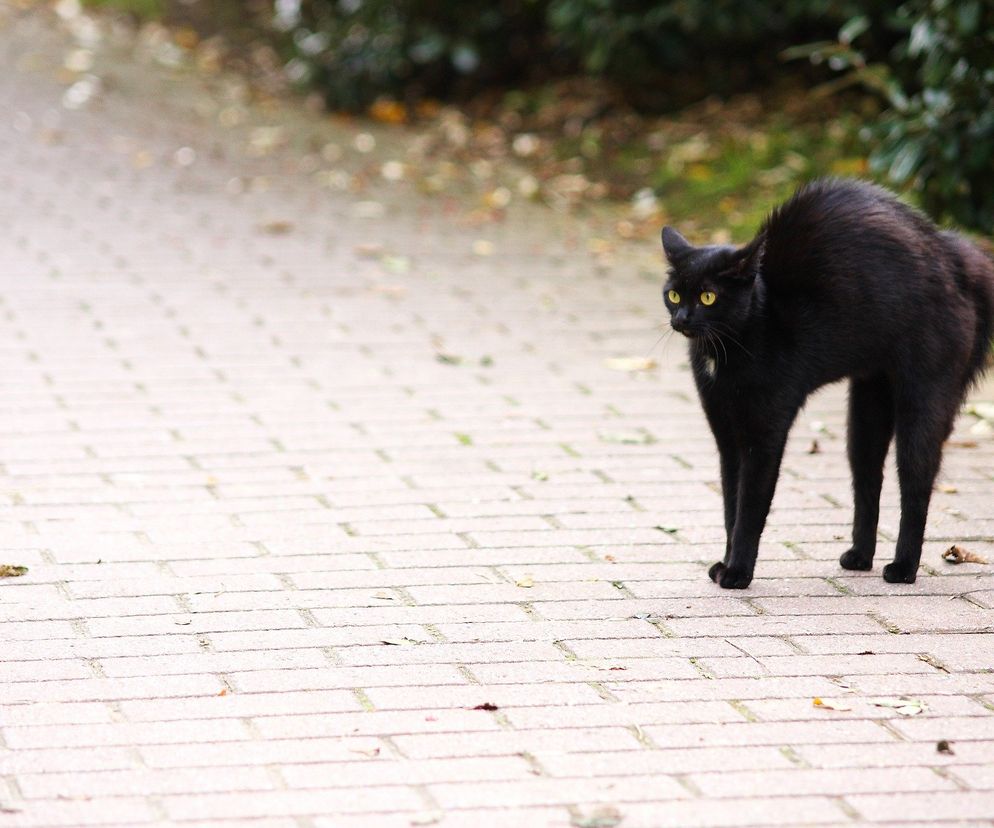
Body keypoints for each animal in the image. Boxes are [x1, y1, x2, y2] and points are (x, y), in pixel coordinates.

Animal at [660, 178, 992, 588]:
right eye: (674, 294)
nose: (682, 319)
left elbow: (750, 507)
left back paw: (903, 568)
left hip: (925, 396)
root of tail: (955, 257)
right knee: (868, 479)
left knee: (916, 483)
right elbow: (729, 505)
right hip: (867, 407)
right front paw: (725, 563)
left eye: (708, 296)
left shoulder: (764, 434)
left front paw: (737, 572)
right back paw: (860, 557)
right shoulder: (726, 435)